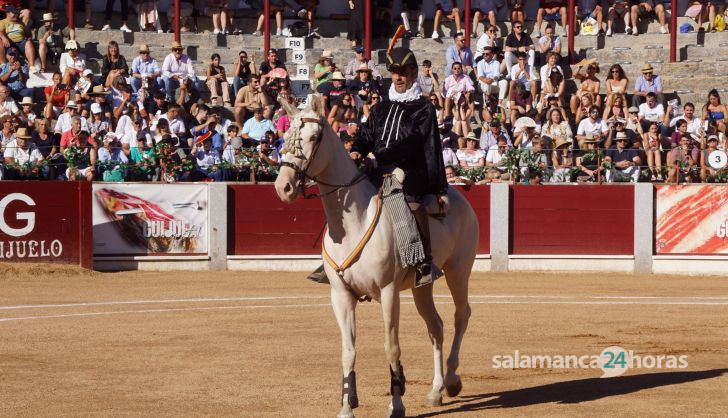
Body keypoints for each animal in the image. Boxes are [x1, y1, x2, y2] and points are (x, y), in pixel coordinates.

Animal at [272, 98, 478, 418]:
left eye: (315, 138)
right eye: (284, 137)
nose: (284, 187)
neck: (353, 221)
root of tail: (457, 195)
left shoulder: (388, 292)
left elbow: (391, 346)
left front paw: (397, 405)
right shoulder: (341, 295)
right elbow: (348, 351)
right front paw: (347, 406)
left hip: (459, 270)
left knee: (461, 315)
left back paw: (453, 380)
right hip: (423, 285)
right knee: (436, 327)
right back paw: (435, 391)